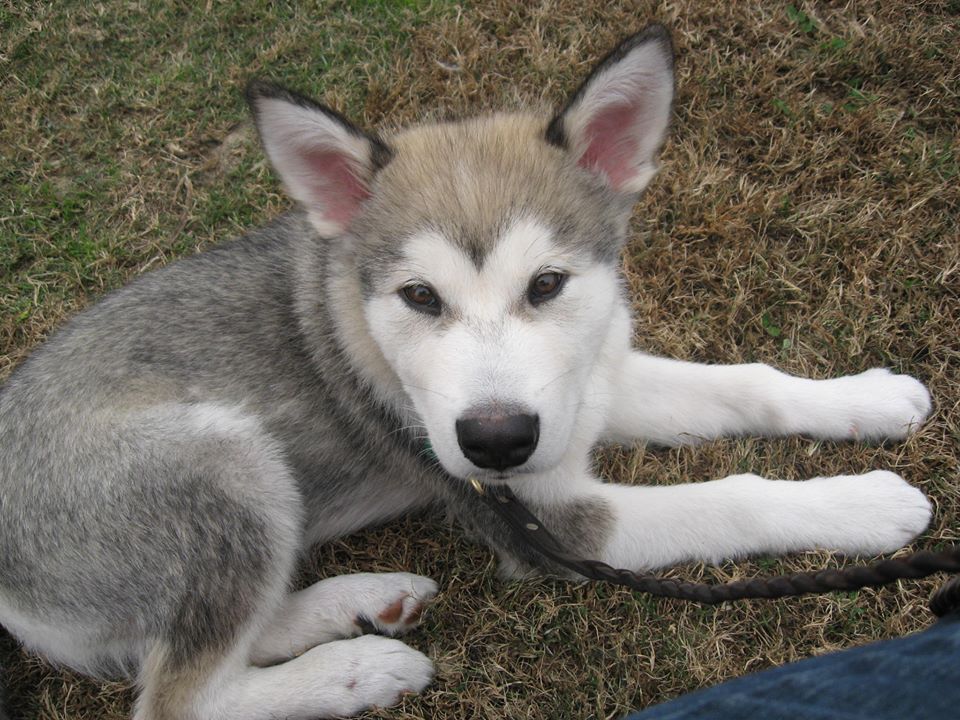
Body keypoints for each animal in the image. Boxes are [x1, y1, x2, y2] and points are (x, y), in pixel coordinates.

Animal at [0, 23, 928, 720]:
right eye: (419, 297)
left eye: (547, 285)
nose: (496, 443)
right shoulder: (551, 523)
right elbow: (730, 498)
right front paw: (863, 505)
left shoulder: (585, 383)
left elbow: (745, 382)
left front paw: (868, 399)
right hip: (220, 462)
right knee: (184, 697)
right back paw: (359, 672)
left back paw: (359, 604)